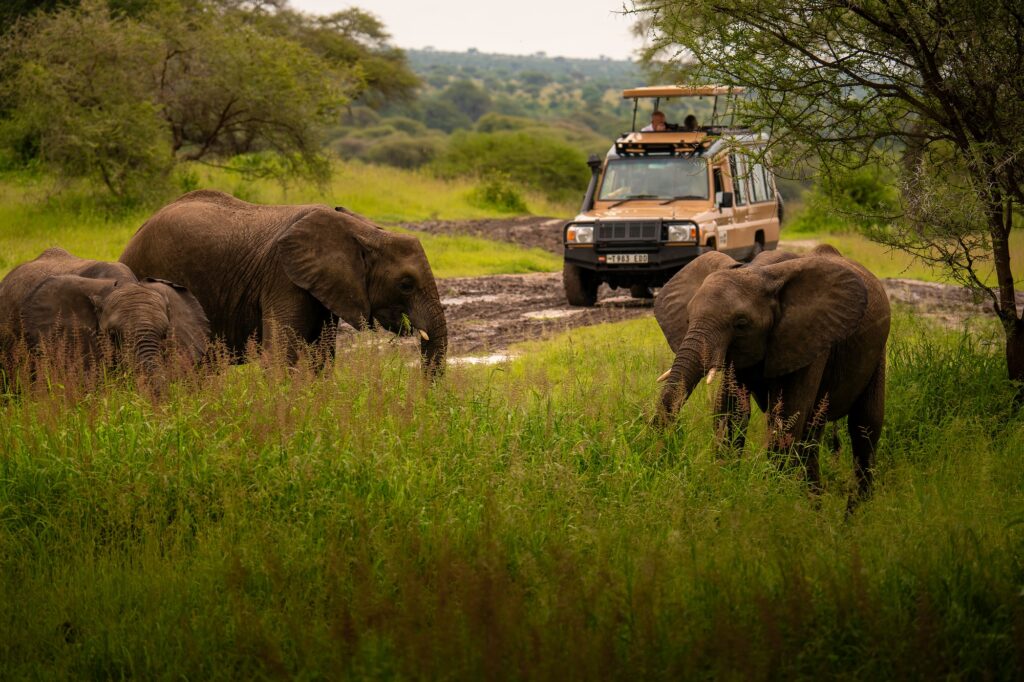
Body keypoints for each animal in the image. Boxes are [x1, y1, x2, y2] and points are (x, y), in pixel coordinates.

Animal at [654, 244, 890, 503]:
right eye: (688, 318)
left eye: (741, 323)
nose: (658, 455)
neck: (759, 270)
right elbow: (731, 415)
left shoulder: (808, 338)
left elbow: (785, 419)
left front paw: (773, 498)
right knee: (813, 434)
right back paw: (815, 505)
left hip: (878, 351)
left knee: (864, 428)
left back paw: (856, 510)